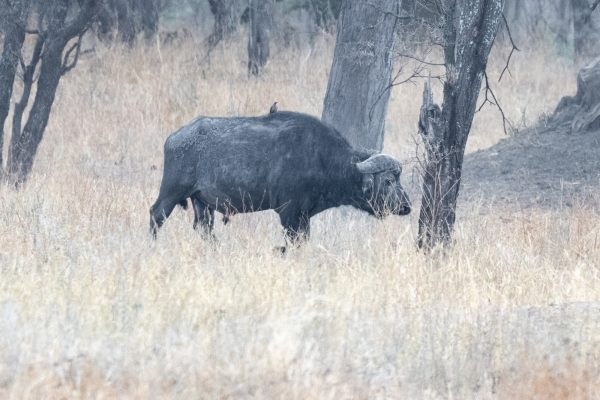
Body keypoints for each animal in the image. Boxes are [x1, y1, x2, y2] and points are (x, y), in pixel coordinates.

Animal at [151, 110, 412, 247]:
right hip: (171, 192)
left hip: (202, 203)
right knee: (156, 215)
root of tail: (174, 137)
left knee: (204, 229)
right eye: (388, 181)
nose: (407, 207)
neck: (321, 158)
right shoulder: (288, 213)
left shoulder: (304, 217)